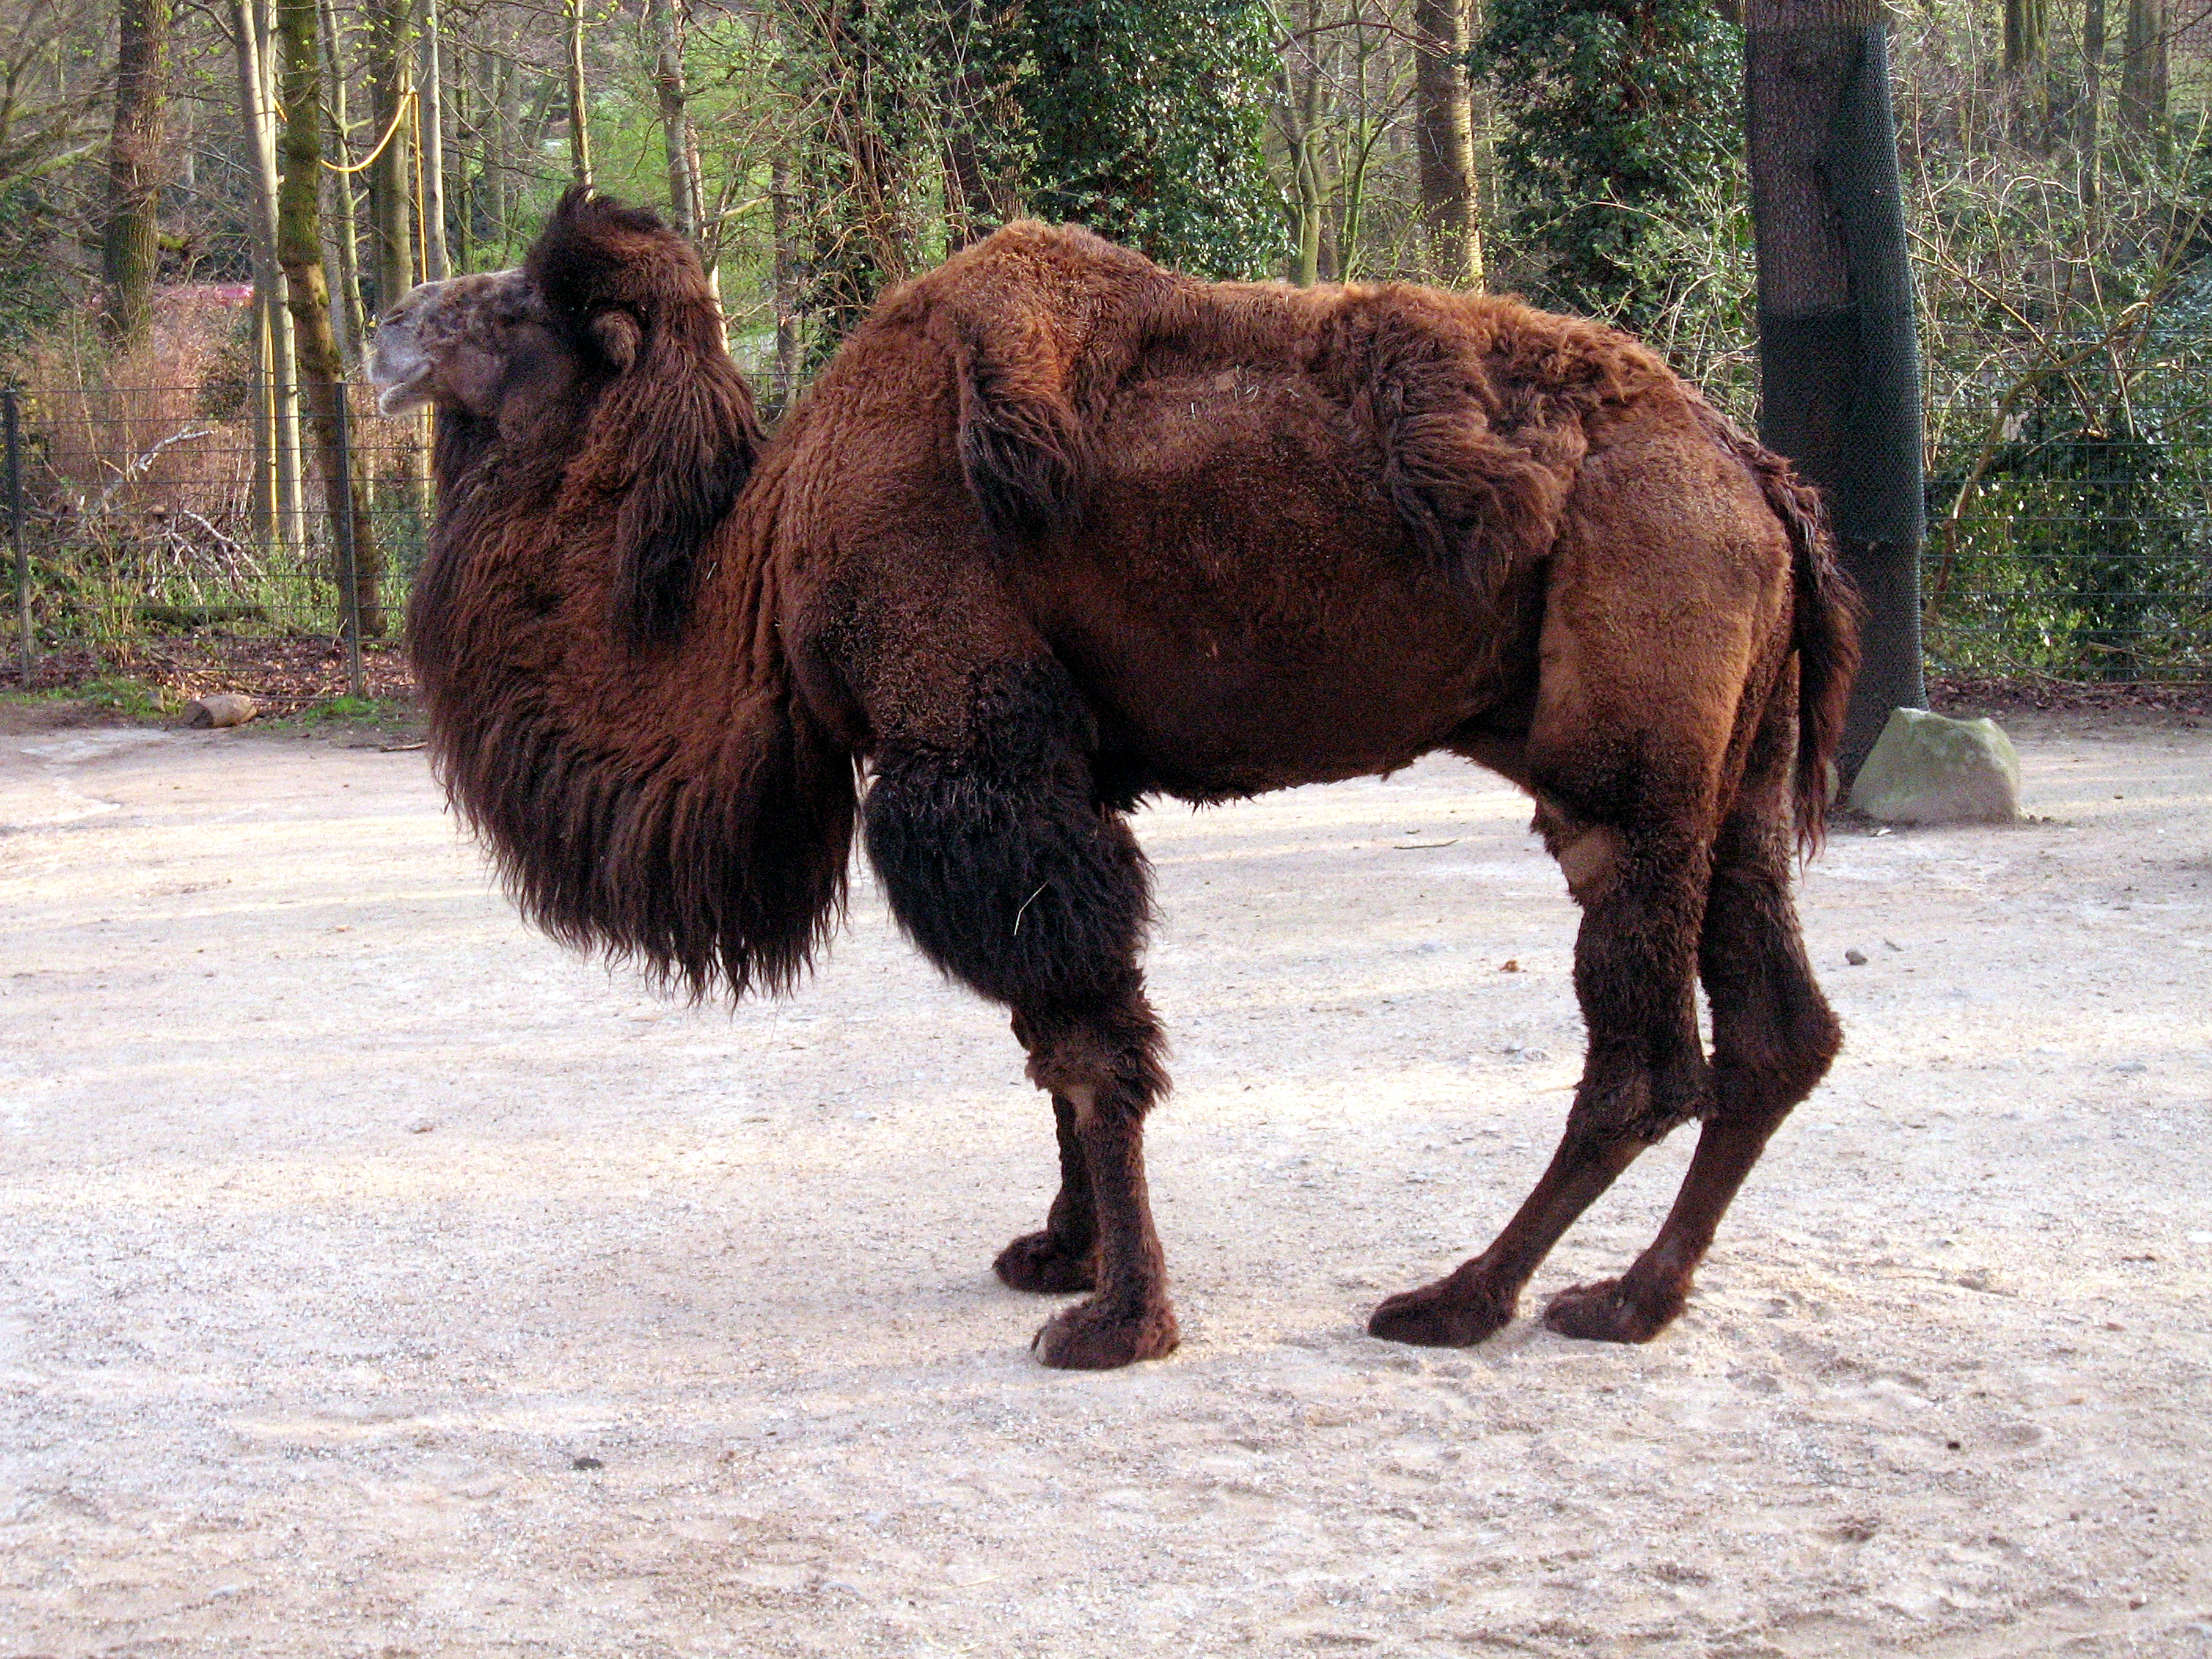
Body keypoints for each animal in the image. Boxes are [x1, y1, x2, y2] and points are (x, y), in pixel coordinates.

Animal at [370, 189, 1859, 1371]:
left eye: (512, 308)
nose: (388, 327)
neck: (756, 557)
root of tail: (1757, 477)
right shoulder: (1043, 780)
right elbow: (1049, 1038)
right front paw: (1061, 1252)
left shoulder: (974, 760)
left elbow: (1088, 1044)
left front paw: (1118, 1320)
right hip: (1739, 768)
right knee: (1776, 1032)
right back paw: (1632, 1298)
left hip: (1629, 758)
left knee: (1648, 1056)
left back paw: (1460, 1299)